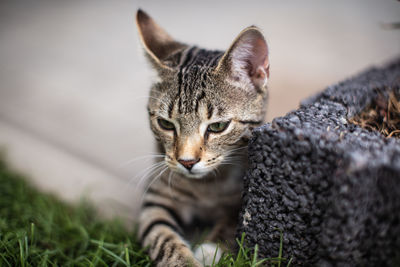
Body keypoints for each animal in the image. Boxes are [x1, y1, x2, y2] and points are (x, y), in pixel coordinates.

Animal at [136, 9, 270, 266]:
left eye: (218, 126)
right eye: (165, 124)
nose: (187, 162)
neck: (207, 186)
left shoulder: (243, 201)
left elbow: (233, 224)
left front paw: (211, 249)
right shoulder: (156, 202)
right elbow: (162, 238)